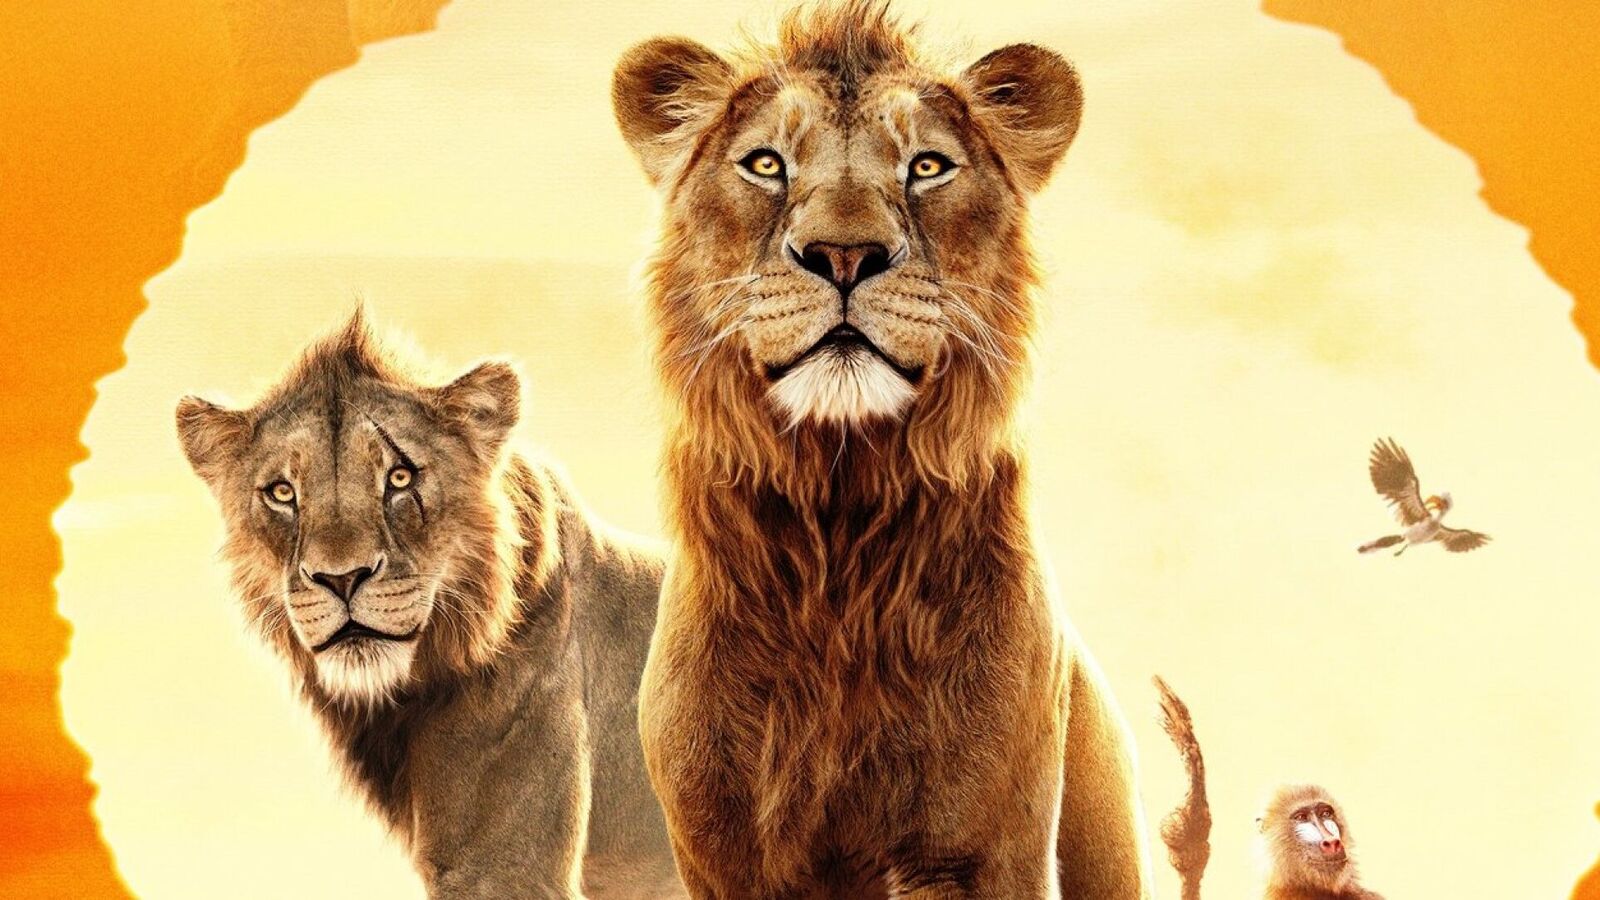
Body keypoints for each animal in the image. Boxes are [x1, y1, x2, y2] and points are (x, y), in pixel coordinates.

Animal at [611, 2, 1152, 897]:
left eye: (927, 166)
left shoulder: (981, 847)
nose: (844, 255)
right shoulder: (722, 857)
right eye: (765, 163)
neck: (840, 532)